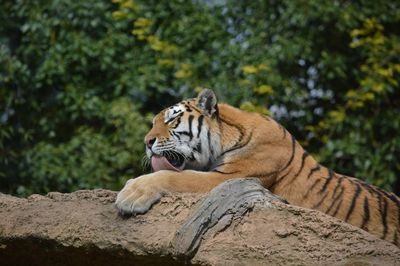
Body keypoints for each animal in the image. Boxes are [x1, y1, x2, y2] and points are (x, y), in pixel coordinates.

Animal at [116, 88, 400, 246]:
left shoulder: (230, 177)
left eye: (172, 119)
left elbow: (175, 177)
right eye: (153, 123)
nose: (146, 142)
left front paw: (130, 195)